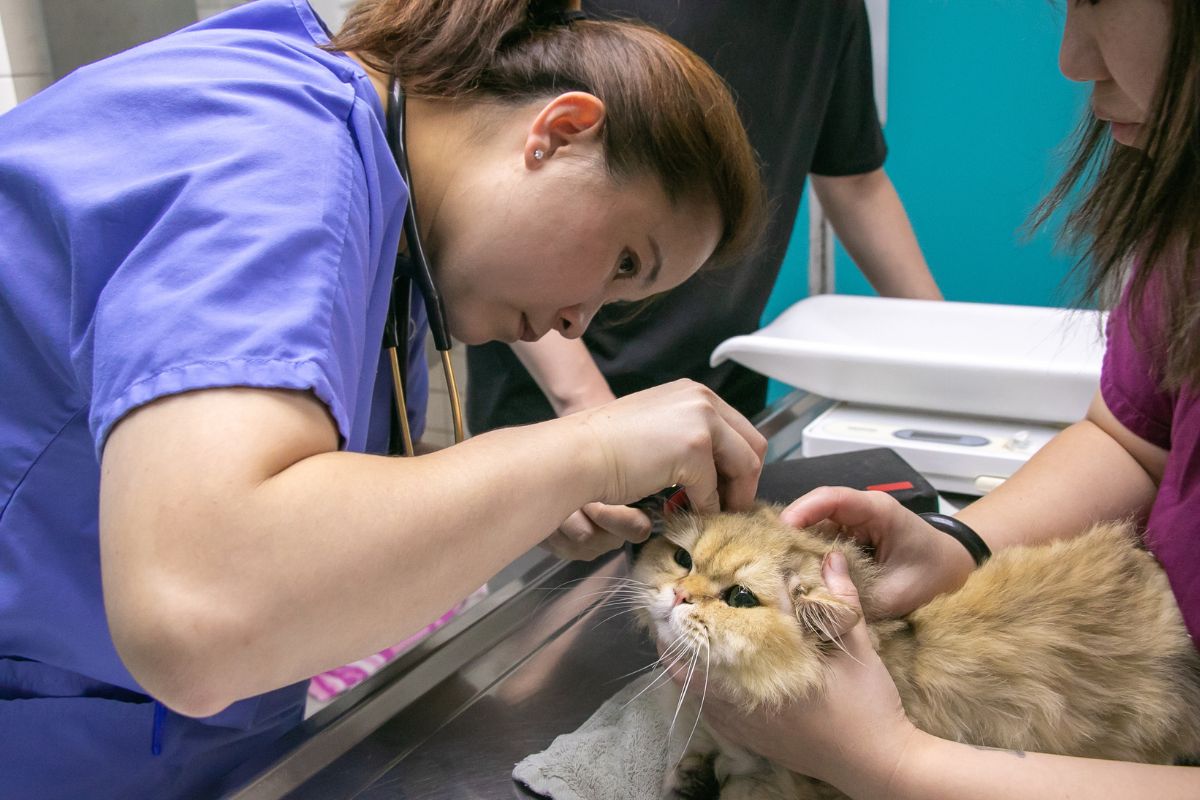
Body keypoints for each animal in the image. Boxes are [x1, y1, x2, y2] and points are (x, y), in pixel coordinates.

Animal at [633, 506, 1200, 800]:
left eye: (740, 598)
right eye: (682, 558)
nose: (679, 595)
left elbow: (740, 785)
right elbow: (690, 768)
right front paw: (690, 780)